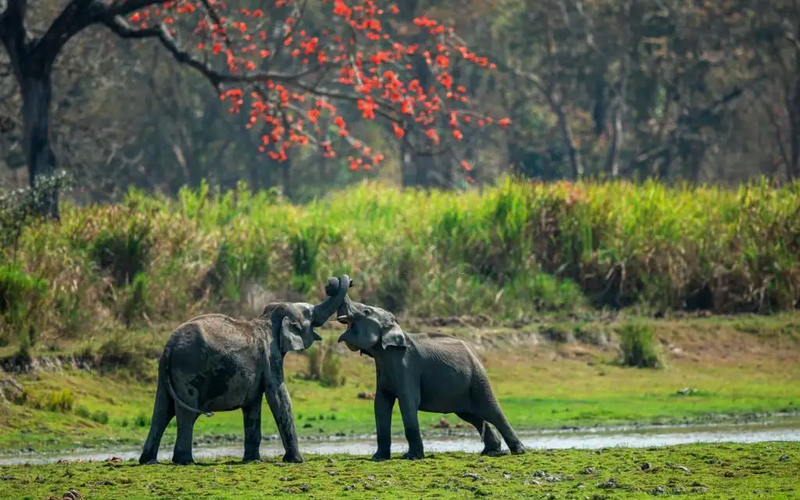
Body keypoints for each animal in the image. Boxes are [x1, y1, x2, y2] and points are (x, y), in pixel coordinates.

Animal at [138, 274, 352, 465]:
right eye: (310, 314)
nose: (334, 282)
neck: (269, 318)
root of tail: (169, 345)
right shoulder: (270, 356)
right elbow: (279, 397)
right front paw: (297, 461)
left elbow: (253, 405)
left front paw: (253, 460)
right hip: (187, 369)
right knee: (186, 413)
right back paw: (184, 461)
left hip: (166, 372)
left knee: (162, 410)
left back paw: (148, 460)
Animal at [336, 296, 526, 461]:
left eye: (366, 311)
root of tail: (474, 353)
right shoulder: (383, 367)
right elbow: (381, 404)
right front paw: (378, 458)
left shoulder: (406, 365)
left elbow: (408, 402)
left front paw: (411, 457)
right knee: (472, 416)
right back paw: (491, 452)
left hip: (478, 378)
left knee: (491, 411)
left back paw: (518, 451)